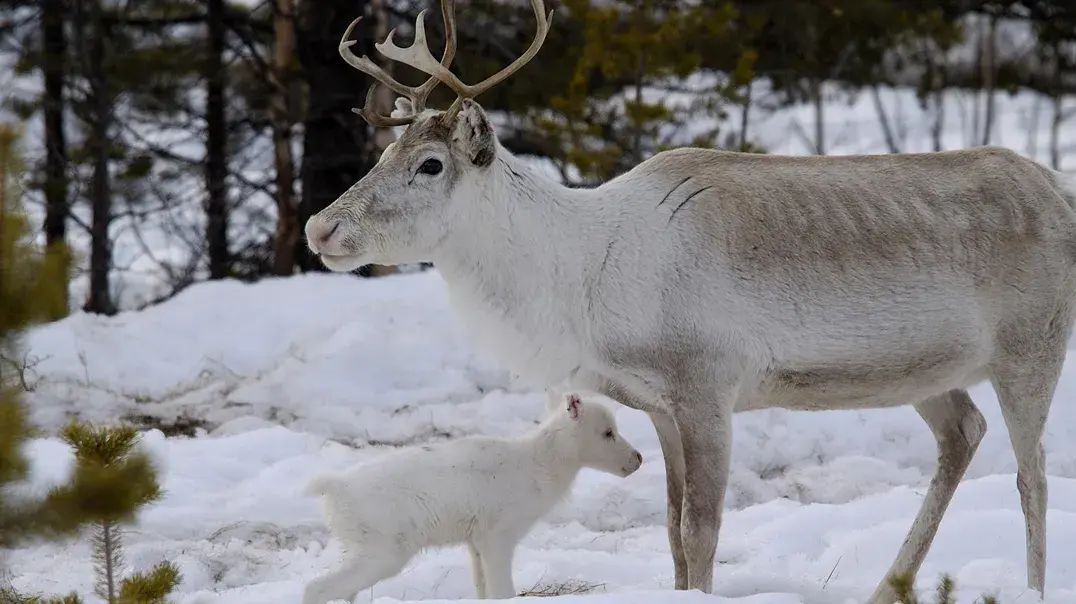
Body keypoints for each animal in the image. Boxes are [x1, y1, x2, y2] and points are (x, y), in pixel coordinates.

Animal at [299, 387, 641, 598]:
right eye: (607, 433)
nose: (637, 459)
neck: (540, 463)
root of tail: (334, 488)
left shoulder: (475, 542)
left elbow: (483, 588)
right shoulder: (498, 536)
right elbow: (502, 590)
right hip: (382, 551)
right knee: (317, 588)